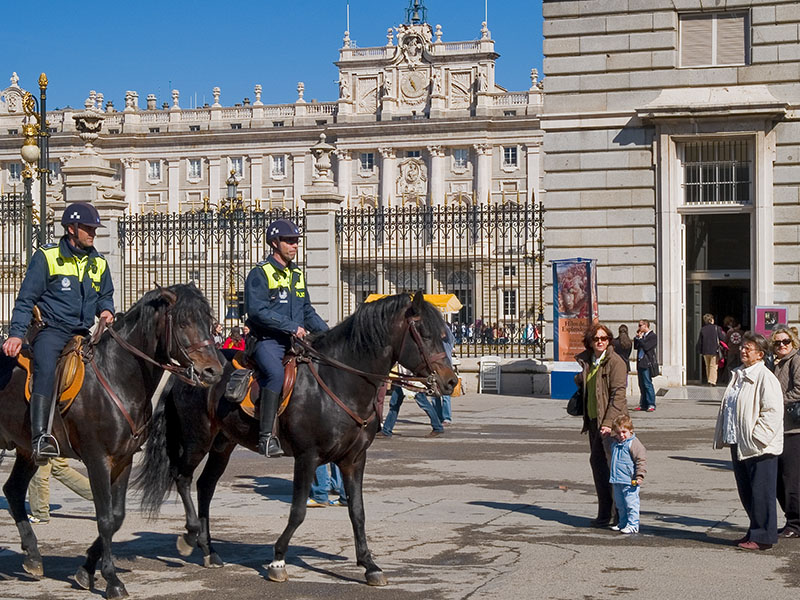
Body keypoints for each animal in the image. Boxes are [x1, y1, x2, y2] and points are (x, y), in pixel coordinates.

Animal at [0, 284, 225, 596]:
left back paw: (33, 555)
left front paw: (86, 570)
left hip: (26, 450)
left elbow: (116, 517)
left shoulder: (123, 460)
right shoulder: (98, 459)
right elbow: (105, 519)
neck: (118, 376)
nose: (214, 371)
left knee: (13, 491)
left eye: (209, 321)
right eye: (183, 323)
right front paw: (112, 580)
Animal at [134, 292, 454, 584]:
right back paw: (191, 536)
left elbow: (358, 511)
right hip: (197, 439)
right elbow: (298, 511)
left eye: (444, 335)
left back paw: (209, 550)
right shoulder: (307, 456)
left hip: (223, 444)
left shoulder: (353, 459)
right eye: (424, 334)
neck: (341, 381)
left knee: (205, 486)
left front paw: (369, 564)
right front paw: (278, 559)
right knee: (182, 477)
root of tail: (189, 370)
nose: (451, 381)